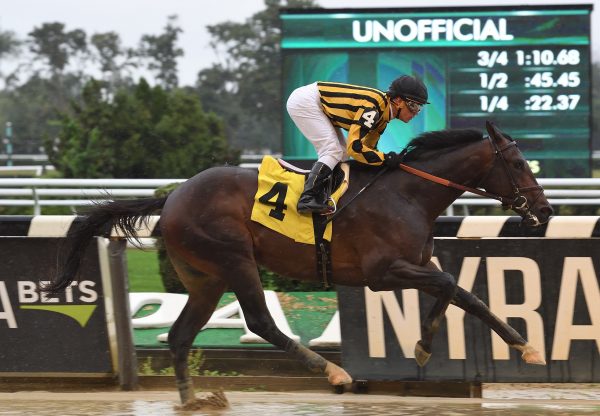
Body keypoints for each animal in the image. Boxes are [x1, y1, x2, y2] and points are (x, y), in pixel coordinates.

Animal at [45, 121, 552, 406]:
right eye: (519, 163)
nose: (545, 211)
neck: (408, 194)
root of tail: (171, 198)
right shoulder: (382, 272)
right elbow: (449, 284)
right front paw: (426, 346)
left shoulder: (414, 264)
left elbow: (464, 294)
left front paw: (524, 347)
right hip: (234, 259)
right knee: (259, 321)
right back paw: (334, 372)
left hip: (205, 279)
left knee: (180, 334)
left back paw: (192, 399)